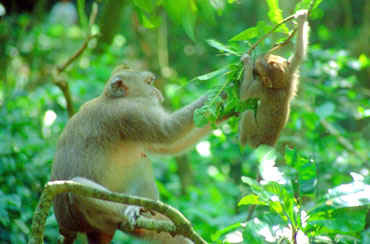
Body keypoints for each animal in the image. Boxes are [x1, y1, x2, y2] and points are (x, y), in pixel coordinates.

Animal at [51, 65, 221, 244]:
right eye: (148, 83)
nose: (158, 94)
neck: (110, 98)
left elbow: (170, 146)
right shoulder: (129, 111)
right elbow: (169, 132)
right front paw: (226, 90)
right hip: (79, 217)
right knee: (77, 188)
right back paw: (132, 208)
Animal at [238, 9, 308, 148]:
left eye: (257, 68)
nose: (258, 57)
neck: (278, 87)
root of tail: (266, 144)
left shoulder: (259, 86)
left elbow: (244, 94)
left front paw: (247, 61)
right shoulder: (290, 74)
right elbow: (299, 54)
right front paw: (302, 19)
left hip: (253, 136)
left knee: (248, 114)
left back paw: (241, 140)